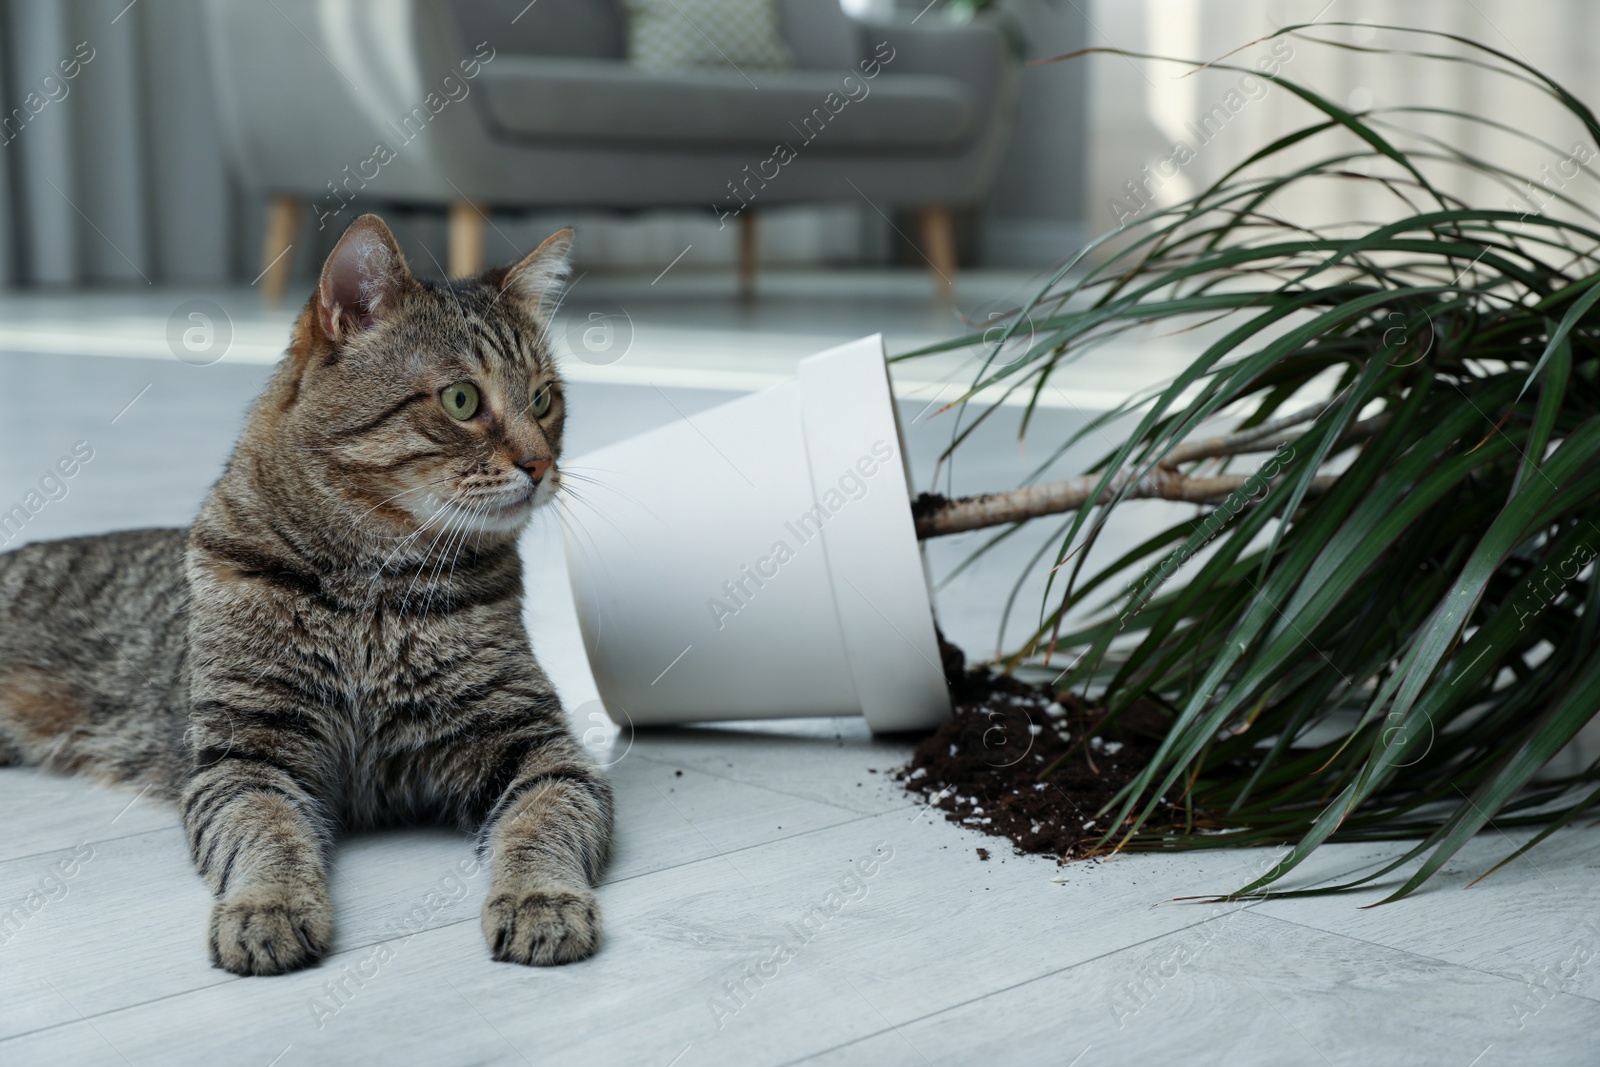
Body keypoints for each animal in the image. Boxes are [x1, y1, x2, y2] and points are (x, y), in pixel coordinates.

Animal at [0, 217, 611, 979]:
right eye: (462, 400)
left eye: (543, 399)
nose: (541, 463)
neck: (374, 589)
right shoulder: (247, 756)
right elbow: (269, 833)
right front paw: (268, 906)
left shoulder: (536, 743)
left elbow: (542, 821)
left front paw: (542, 899)